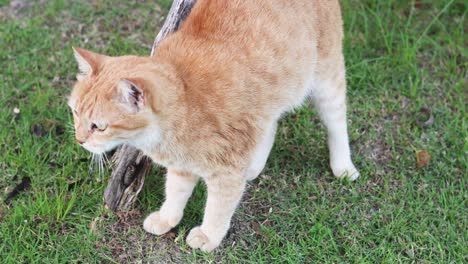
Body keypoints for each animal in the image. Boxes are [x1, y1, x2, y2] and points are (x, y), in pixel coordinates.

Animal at [68, 0, 358, 252]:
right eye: (75, 113)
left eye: (99, 126)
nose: (79, 140)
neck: (184, 95)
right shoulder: (182, 165)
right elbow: (175, 193)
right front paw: (167, 218)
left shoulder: (227, 170)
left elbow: (219, 207)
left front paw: (208, 235)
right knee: (270, 124)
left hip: (326, 78)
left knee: (337, 123)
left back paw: (343, 166)